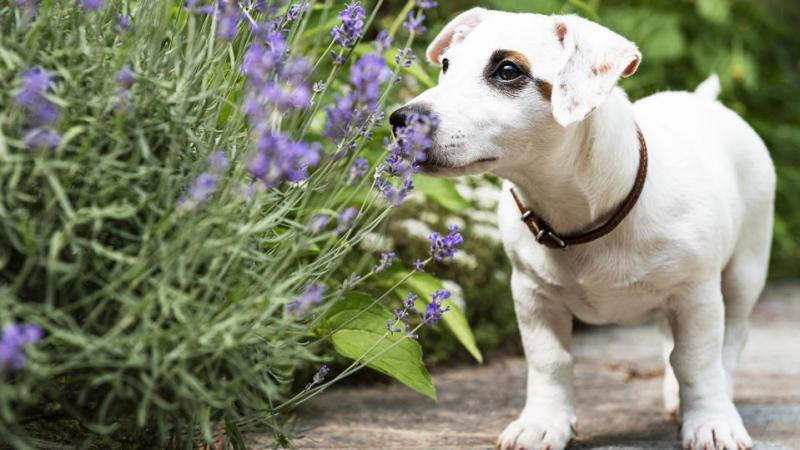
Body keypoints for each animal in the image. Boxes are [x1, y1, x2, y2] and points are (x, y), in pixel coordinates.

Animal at [390, 7, 780, 450]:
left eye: (507, 71)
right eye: (445, 65)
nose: (401, 120)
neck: (575, 214)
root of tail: (703, 103)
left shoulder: (695, 294)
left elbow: (697, 361)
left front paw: (710, 422)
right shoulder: (533, 296)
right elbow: (549, 360)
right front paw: (543, 422)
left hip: (744, 271)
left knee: (730, 339)